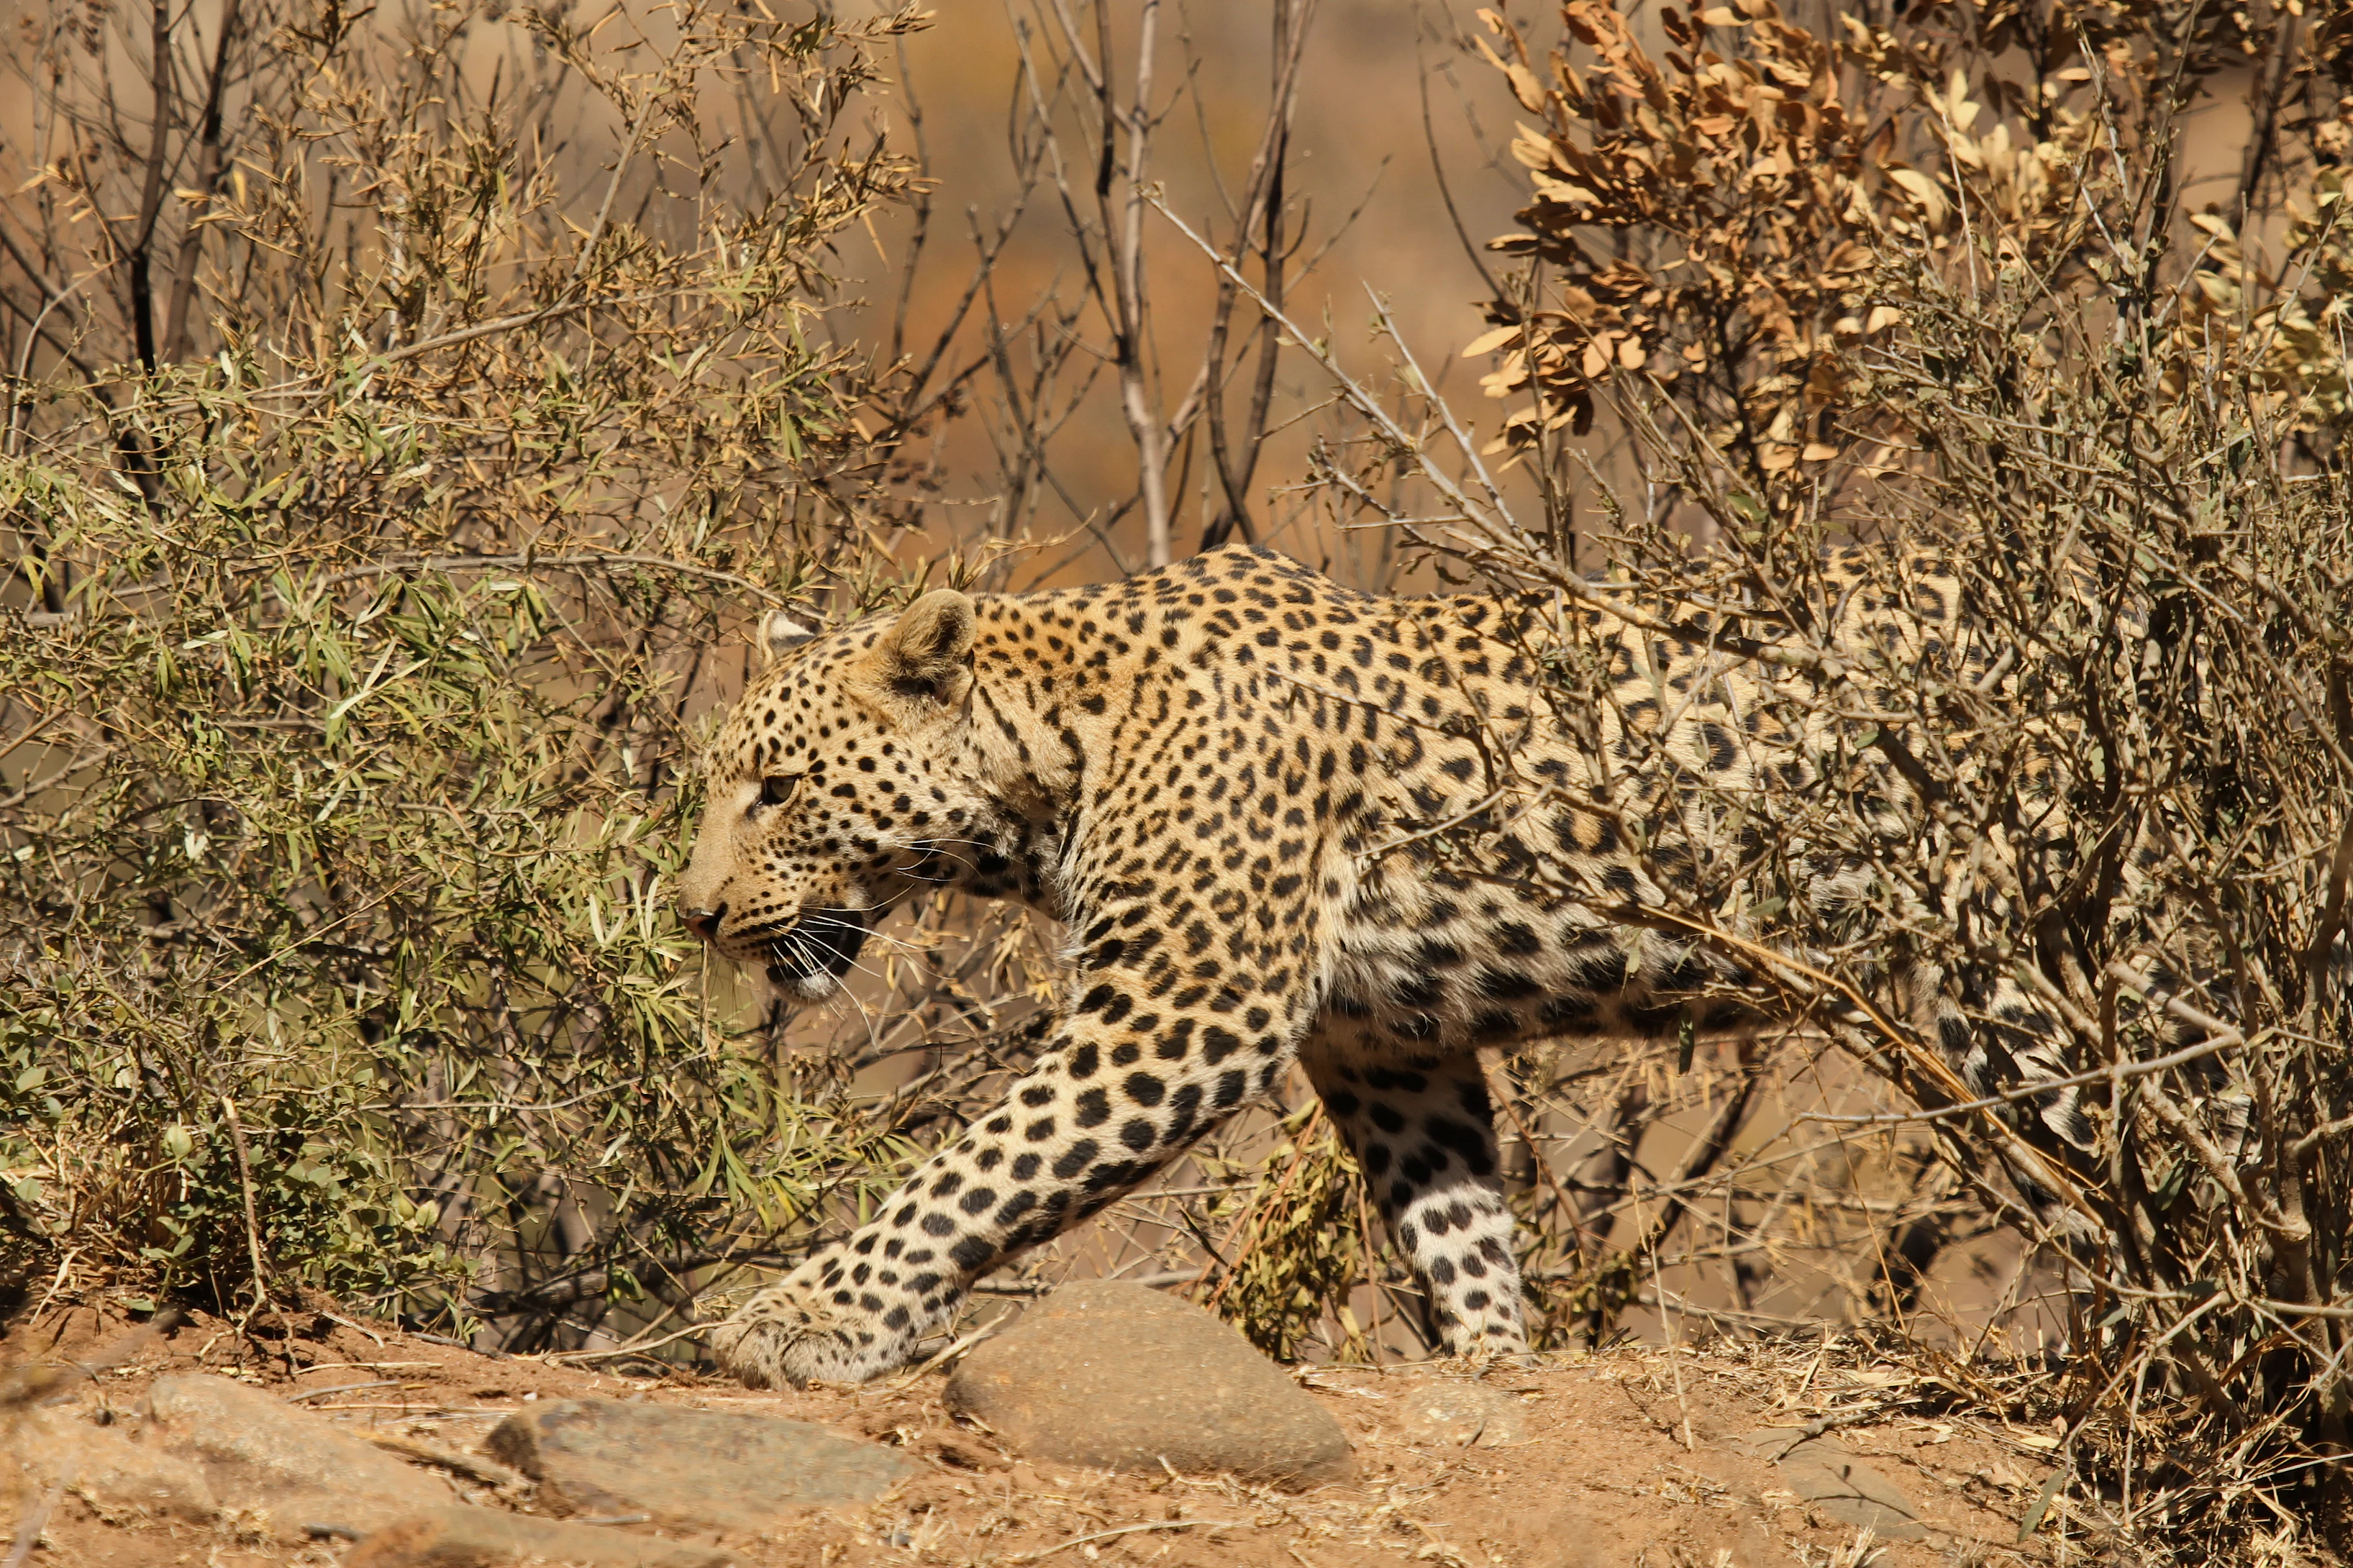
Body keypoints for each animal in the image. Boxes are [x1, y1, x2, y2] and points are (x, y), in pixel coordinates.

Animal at [676, 541, 2099, 1388]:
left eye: (777, 789)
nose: (691, 916)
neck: (1056, 754)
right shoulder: (1386, 1043)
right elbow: (1454, 1220)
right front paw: (1494, 1363)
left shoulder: (1182, 1007)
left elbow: (975, 1170)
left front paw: (800, 1321)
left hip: (2015, 974)